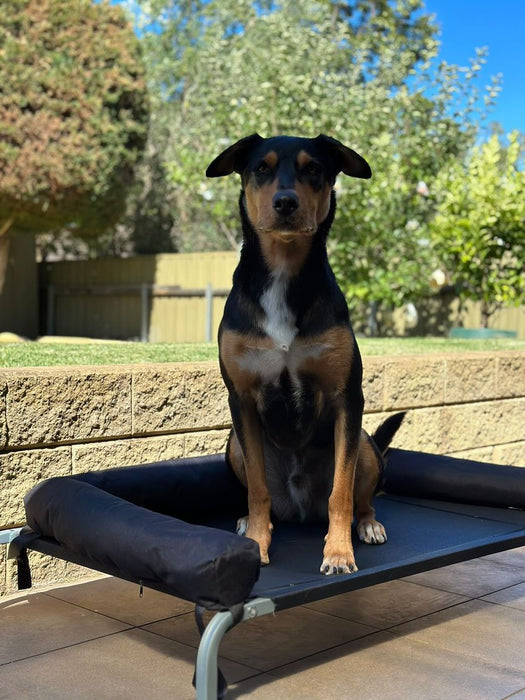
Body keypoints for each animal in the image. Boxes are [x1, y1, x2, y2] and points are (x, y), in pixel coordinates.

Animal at [207, 133, 404, 576]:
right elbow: (257, 490)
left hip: (365, 445)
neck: (283, 272)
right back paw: (251, 522)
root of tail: (299, 509)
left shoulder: (348, 400)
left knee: (361, 497)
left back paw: (367, 525)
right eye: (261, 168)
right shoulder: (241, 400)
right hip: (233, 444)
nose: (285, 202)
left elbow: (341, 493)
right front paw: (257, 542)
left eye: (313, 169)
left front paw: (339, 552)